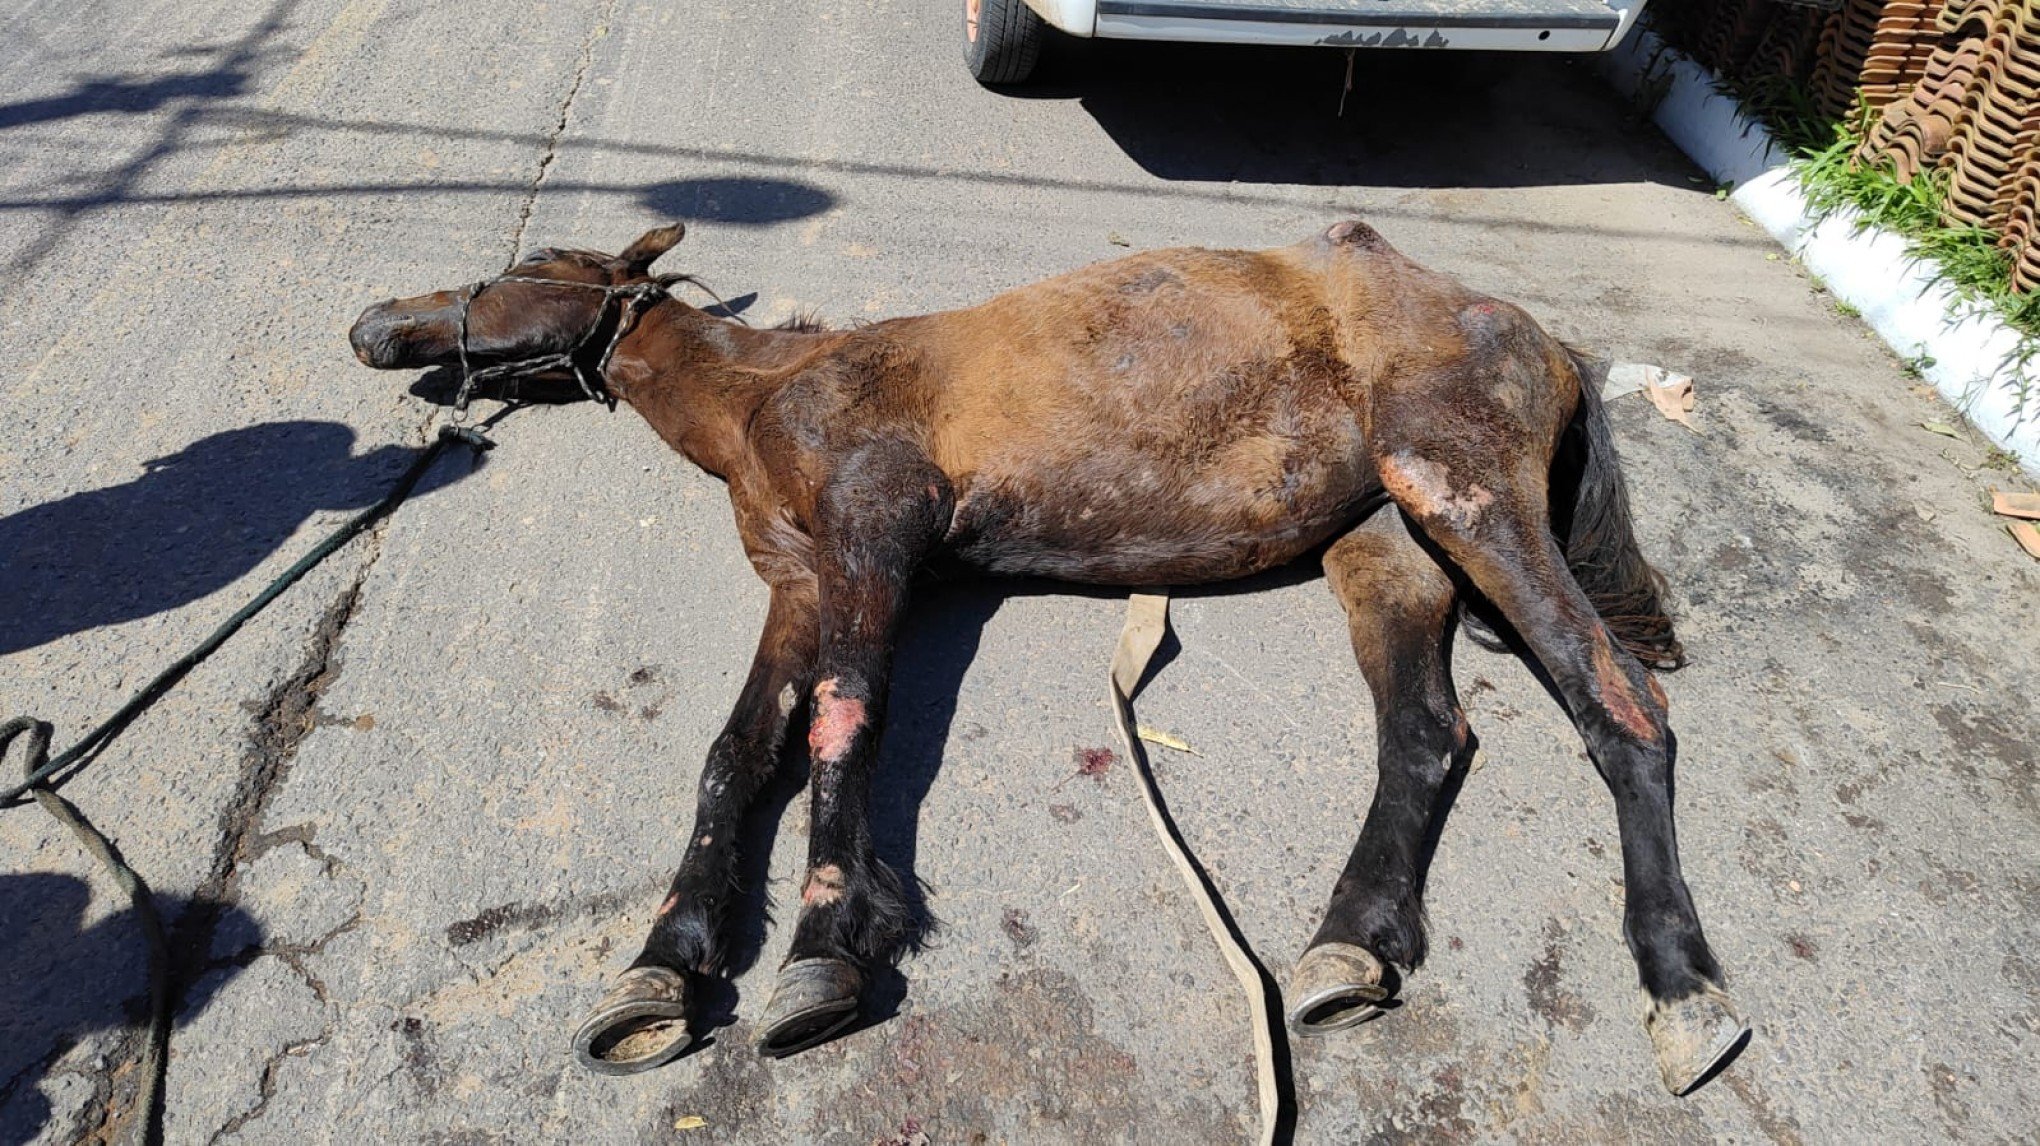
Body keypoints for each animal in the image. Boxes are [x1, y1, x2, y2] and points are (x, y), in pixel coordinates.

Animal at [354, 221, 1754, 1084]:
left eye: (530, 259)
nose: (374, 323)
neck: (775, 392)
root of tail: (1528, 326)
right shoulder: (799, 582)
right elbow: (734, 755)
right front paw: (660, 971)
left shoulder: (874, 543)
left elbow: (844, 721)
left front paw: (820, 959)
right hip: (1388, 542)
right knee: (1426, 736)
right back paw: (1351, 946)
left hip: (1464, 490)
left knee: (1620, 704)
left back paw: (1683, 990)